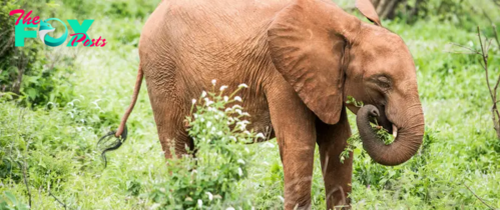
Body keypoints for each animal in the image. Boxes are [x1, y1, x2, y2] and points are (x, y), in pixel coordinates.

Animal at [101, 0, 426, 208]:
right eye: (382, 81)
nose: (375, 113)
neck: (349, 27)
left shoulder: (323, 82)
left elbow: (338, 144)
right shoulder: (281, 77)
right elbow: (299, 145)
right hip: (162, 71)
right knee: (176, 141)